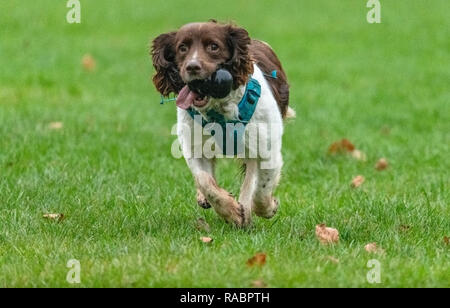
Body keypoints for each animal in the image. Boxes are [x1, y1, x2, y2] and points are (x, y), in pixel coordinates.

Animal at [149, 21, 294, 226]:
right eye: (182, 48)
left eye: (213, 46)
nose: (192, 67)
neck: (220, 110)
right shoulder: (193, 145)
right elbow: (204, 180)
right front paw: (231, 211)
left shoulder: (266, 149)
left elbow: (261, 189)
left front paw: (267, 208)